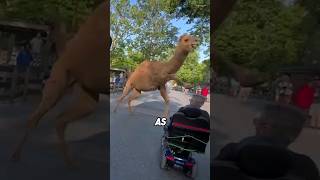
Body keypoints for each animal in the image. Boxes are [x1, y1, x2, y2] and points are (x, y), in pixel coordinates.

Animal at [10, 1, 110, 167]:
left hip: (84, 93)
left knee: (60, 120)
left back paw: (71, 163)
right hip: (58, 84)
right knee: (37, 118)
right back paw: (15, 156)